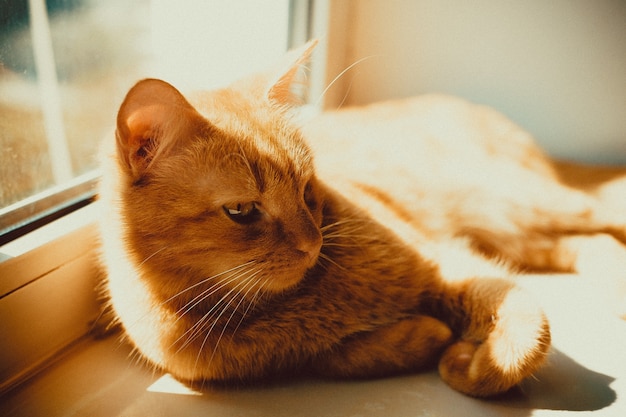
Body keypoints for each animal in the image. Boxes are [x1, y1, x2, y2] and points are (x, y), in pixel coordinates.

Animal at [98, 41, 624, 396]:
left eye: (307, 190)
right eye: (242, 211)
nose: (311, 244)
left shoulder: (446, 265)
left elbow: (525, 334)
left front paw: (469, 363)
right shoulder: (299, 356)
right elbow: (343, 356)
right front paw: (427, 336)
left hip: (523, 203)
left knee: (606, 220)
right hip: (520, 230)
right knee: (591, 243)